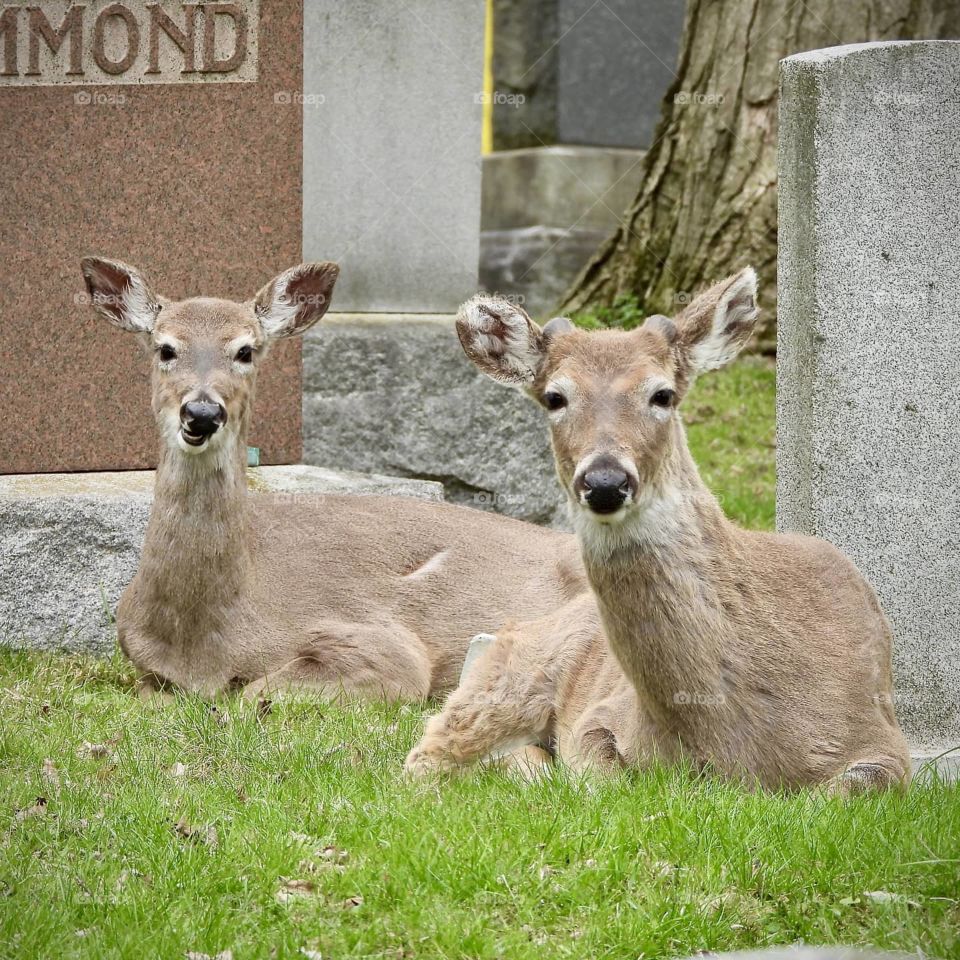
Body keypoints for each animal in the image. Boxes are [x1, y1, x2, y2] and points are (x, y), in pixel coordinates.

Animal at [79, 257, 592, 706]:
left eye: (245, 350)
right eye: (165, 348)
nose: (202, 413)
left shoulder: (384, 648)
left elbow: (251, 694)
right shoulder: (144, 665)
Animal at [406, 268, 911, 793]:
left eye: (662, 394)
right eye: (555, 397)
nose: (605, 482)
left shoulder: (884, 740)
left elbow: (844, 789)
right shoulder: (600, 716)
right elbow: (602, 778)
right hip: (509, 674)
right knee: (424, 757)